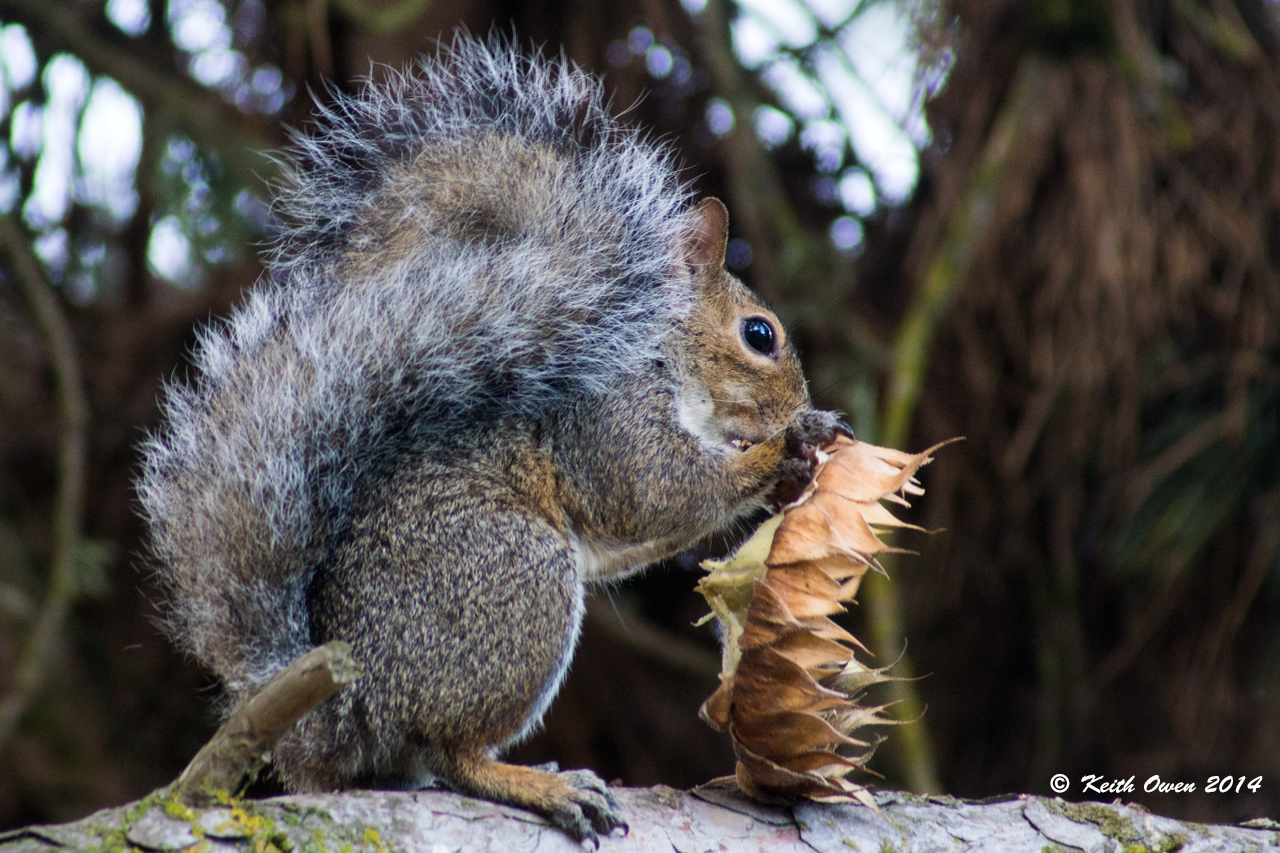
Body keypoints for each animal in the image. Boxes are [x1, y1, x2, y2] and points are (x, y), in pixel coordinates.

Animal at [138, 34, 846, 844]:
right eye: (760, 336)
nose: (798, 404)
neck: (655, 352)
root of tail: (345, 716)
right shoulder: (601, 419)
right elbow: (656, 491)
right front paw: (786, 446)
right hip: (518, 576)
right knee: (451, 753)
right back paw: (539, 784)